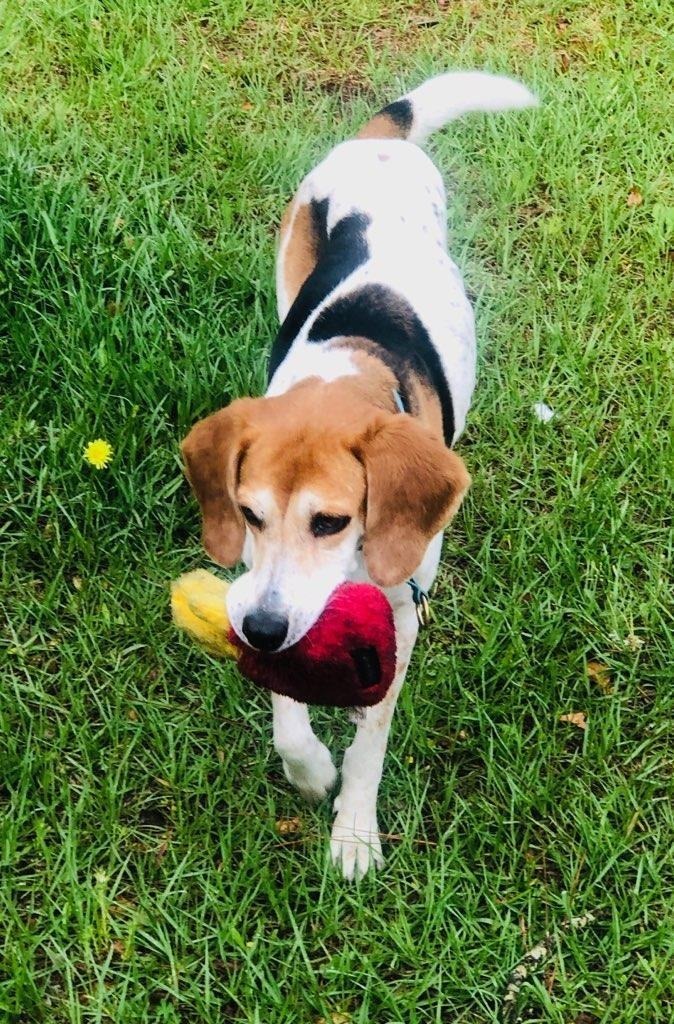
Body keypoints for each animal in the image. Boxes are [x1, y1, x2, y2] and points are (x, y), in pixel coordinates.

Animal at [180, 70, 536, 880]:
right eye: (248, 514)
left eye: (333, 520)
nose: (264, 627)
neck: (345, 377)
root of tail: (379, 140)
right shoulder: (260, 584)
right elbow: (287, 713)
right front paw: (311, 770)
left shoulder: (401, 610)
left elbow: (372, 737)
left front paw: (354, 831)